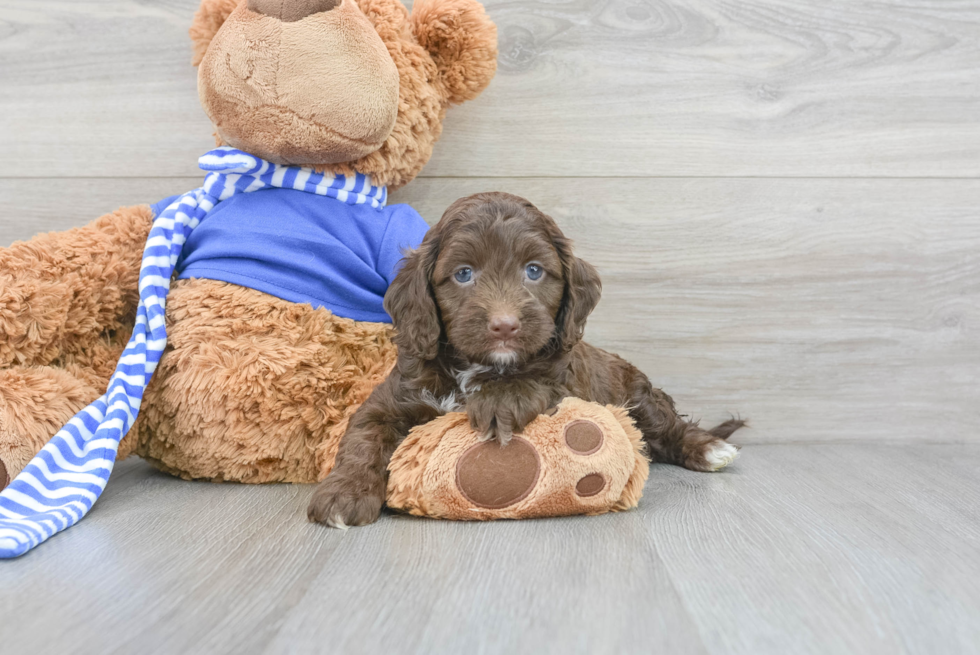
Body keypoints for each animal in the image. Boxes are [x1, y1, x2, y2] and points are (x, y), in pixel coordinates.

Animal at [308, 191, 744, 528]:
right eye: (463, 274)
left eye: (534, 271)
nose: (505, 325)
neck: (479, 365)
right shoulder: (393, 397)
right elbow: (364, 435)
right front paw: (344, 494)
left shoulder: (569, 381)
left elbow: (538, 381)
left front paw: (500, 401)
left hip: (637, 392)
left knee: (667, 427)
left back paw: (708, 448)